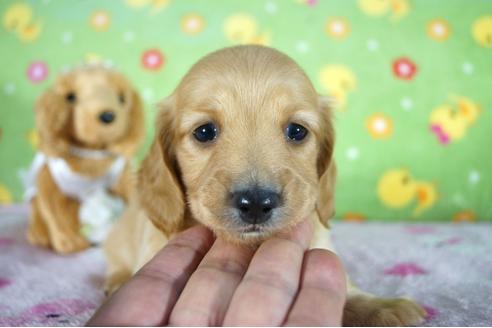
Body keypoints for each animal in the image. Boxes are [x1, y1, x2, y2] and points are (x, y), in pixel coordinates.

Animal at [26, 66, 144, 254]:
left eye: (121, 98)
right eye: (70, 97)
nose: (107, 116)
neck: (91, 153)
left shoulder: (122, 175)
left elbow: (130, 194)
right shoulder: (51, 183)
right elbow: (54, 208)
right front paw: (69, 241)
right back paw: (39, 234)